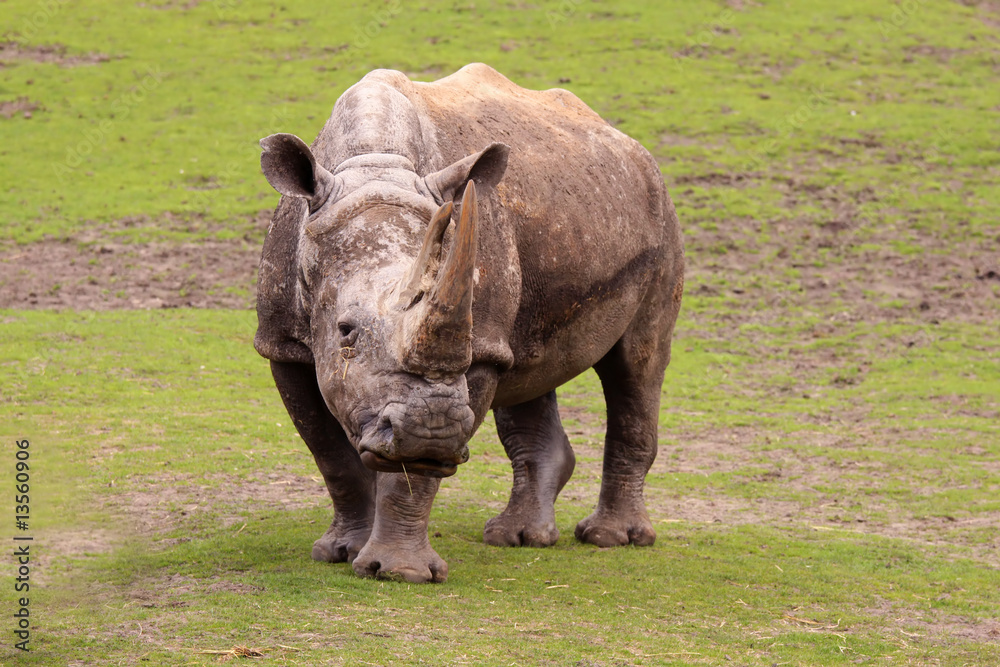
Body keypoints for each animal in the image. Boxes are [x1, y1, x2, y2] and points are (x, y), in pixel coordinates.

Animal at [255, 63, 684, 583]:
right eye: (345, 331)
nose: (430, 428)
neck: (376, 165)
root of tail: (635, 149)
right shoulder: (283, 344)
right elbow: (330, 455)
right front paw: (339, 551)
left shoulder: (476, 349)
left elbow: (413, 474)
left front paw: (397, 572)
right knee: (530, 369)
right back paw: (517, 537)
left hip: (660, 216)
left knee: (637, 364)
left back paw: (610, 539)